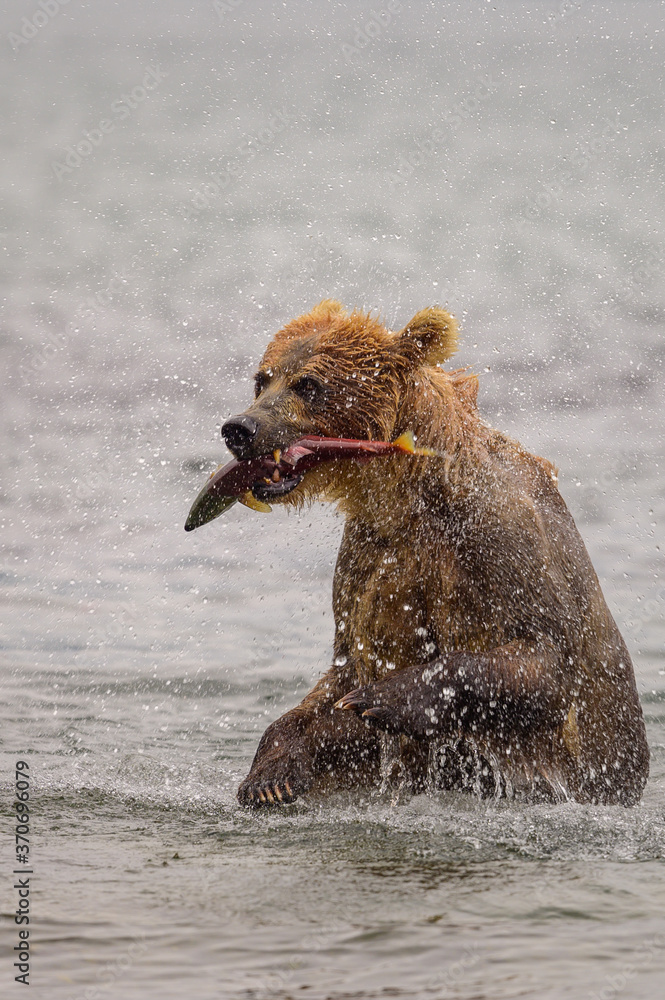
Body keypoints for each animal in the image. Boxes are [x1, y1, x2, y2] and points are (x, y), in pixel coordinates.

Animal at [217, 299, 649, 807]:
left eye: (309, 384)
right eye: (262, 378)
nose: (240, 428)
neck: (408, 493)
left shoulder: (498, 532)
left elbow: (545, 653)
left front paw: (383, 698)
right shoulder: (368, 555)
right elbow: (341, 675)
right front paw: (270, 775)